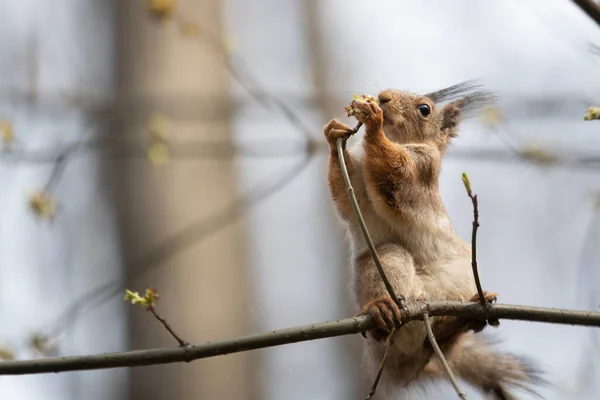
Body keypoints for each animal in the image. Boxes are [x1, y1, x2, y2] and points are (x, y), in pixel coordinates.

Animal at [324, 82, 544, 400]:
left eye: (424, 109)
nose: (384, 97)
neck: (398, 140)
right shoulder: (357, 183)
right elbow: (347, 195)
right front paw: (334, 133)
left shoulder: (421, 168)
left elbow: (395, 173)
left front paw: (374, 121)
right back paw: (383, 309)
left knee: (437, 341)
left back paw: (460, 320)